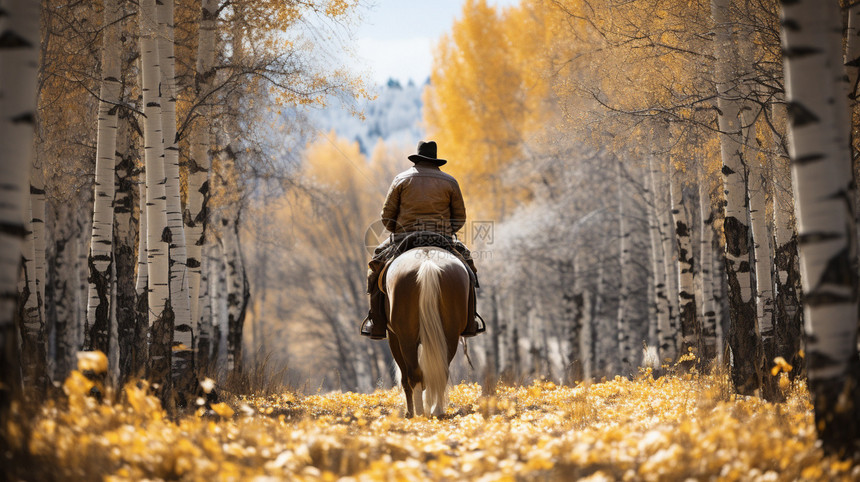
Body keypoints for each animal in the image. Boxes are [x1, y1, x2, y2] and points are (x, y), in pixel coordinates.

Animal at [386, 247, 474, 416]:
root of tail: (427, 263)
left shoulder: (393, 337)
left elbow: (406, 378)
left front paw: (410, 412)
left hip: (406, 338)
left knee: (414, 374)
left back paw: (419, 414)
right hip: (450, 335)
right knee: (441, 371)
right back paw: (436, 410)